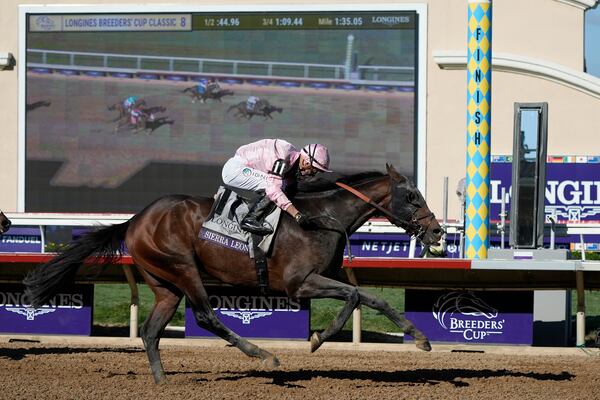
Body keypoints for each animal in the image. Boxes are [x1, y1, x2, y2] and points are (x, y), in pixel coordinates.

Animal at [22, 165, 440, 384]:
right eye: (413, 197)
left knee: (151, 330)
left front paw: (419, 337)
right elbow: (353, 297)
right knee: (206, 316)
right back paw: (264, 355)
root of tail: (136, 219)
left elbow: (373, 297)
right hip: (183, 267)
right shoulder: (300, 283)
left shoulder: (329, 278)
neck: (323, 218)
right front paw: (318, 339)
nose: (437, 232)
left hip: (165, 284)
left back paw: (162, 381)